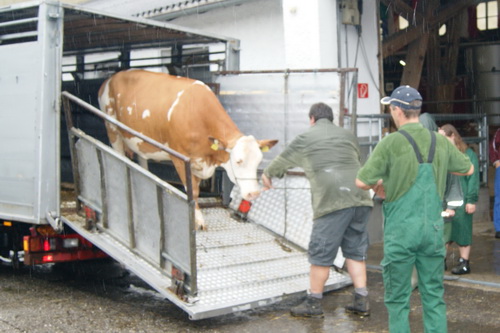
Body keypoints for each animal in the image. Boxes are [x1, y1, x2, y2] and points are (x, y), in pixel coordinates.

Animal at [97, 68, 278, 230]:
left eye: (258, 161)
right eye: (238, 161)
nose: (254, 194)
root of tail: (110, 78)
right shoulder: (180, 158)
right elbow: (193, 192)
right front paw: (198, 220)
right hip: (111, 128)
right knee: (118, 155)